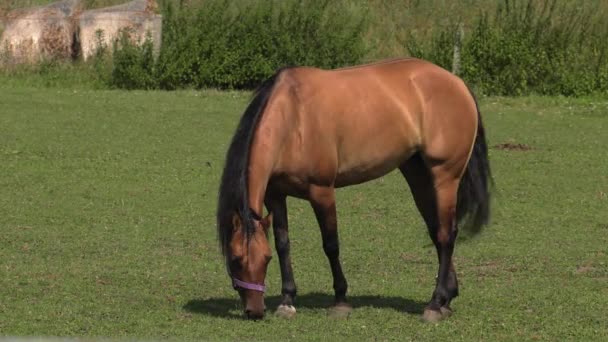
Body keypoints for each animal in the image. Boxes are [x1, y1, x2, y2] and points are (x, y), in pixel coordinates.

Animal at [216, 57, 492, 322]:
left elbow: (331, 245)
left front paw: (340, 301)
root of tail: (458, 84)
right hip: (419, 177)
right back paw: (447, 298)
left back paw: (435, 304)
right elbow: (284, 244)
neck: (293, 119)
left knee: (447, 235)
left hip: (445, 177)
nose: (254, 311)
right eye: (235, 260)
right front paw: (287, 300)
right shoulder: (275, 195)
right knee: (437, 231)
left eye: (264, 259)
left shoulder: (322, 192)